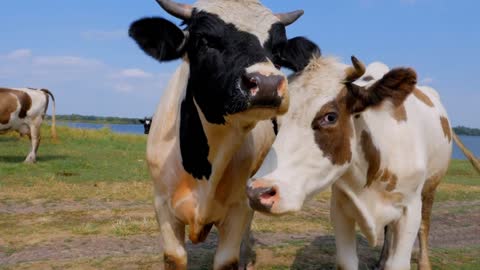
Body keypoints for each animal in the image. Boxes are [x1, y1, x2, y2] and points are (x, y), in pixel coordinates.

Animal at [127, 0, 318, 268]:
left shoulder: (238, 207)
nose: (267, 84)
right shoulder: (162, 204)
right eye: (204, 40)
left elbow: (228, 258)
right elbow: (174, 257)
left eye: (278, 49)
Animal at [248, 51, 480, 270]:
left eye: (330, 117)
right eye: (275, 122)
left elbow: (399, 261)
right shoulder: (340, 209)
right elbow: (347, 261)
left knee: (425, 226)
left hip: (431, 186)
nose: (258, 192)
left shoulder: (409, 208)